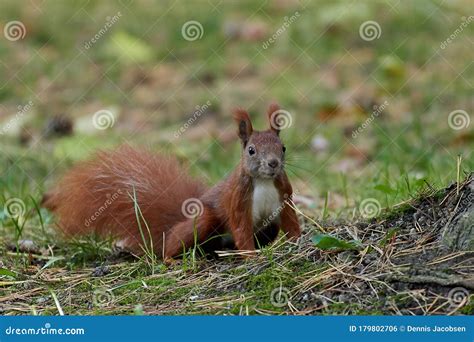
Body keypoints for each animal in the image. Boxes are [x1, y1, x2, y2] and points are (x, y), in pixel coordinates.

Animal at [41, 104, 300, 260]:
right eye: (251, 150)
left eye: (283, 147)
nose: (273, 163)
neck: (264, 181)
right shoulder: (237, 198)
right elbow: (241, 227)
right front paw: (250, 256)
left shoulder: (284, 192)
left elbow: (290, 219)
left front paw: (297, 242)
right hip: (203, 219)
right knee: (174, 244)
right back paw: (173, 258)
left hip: (267, 226)